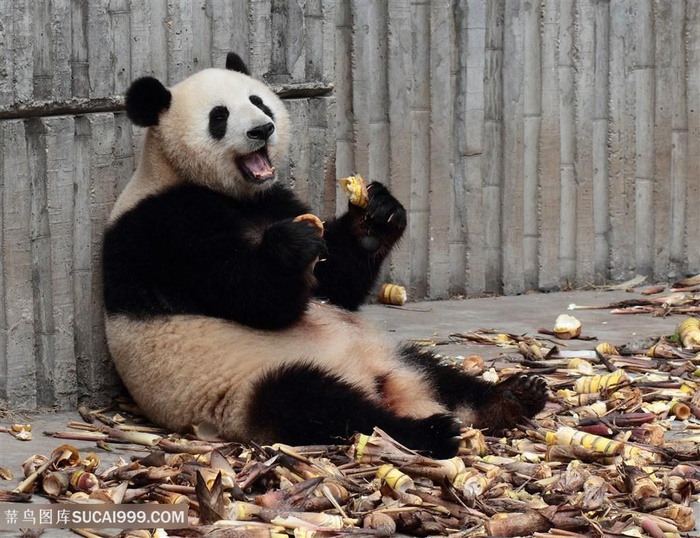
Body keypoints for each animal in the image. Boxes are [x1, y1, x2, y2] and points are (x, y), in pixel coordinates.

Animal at [102, 53, 548, 456]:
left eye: (258, 101)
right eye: (219, 116)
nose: (263, 129)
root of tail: (382, 383)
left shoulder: (273, 199)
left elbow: (334, 287)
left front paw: (375, 216)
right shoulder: (164, 228)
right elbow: (254, 298)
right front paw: (292, 245)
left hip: (386, 349)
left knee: (435, 371)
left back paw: (512, 397)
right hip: (246, 386)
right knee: (320, 405)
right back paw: (431, 432)